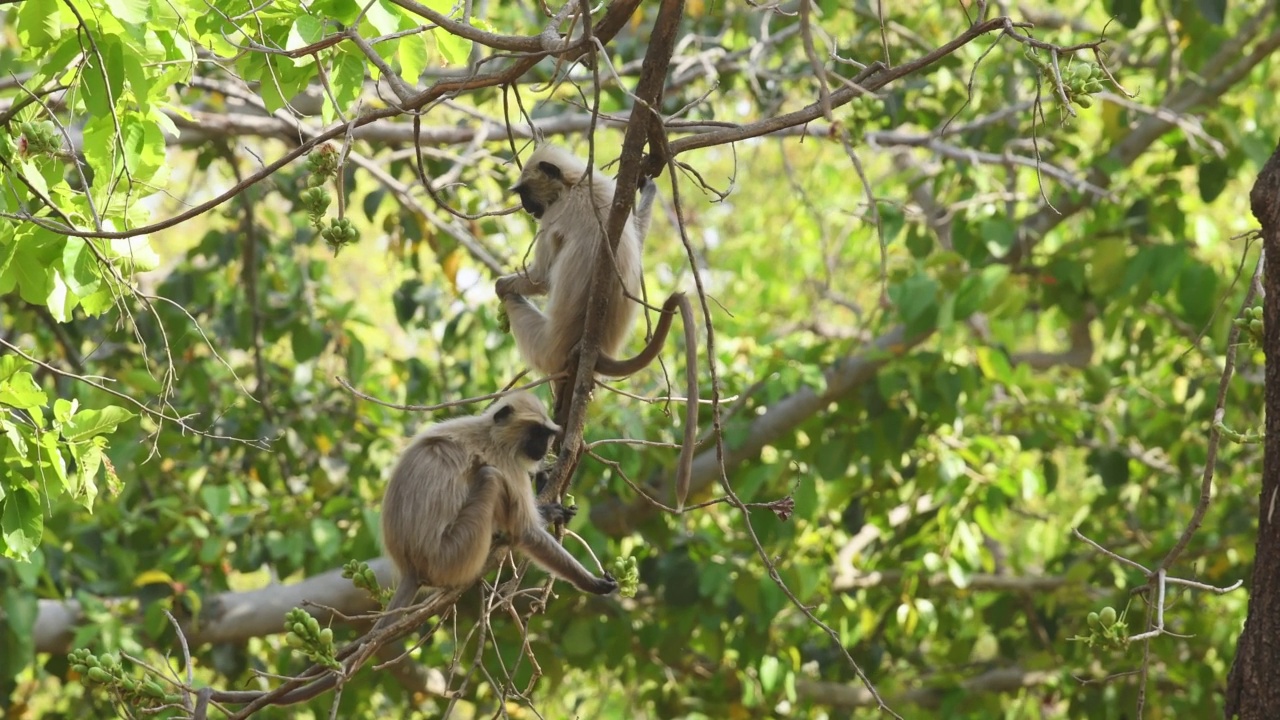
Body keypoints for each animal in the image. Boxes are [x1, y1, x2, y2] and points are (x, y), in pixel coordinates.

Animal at [373, 386, 616, 627]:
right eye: (536, 432)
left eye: (546, 434)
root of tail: (412, 568)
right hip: (453, 555)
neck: (491, 433)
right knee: (491, 477)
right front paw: (591, 582)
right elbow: (526, 532)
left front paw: (544, 484)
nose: (542, 447)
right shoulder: (508, 461)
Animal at [496, 142, 701, 507]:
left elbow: (540, 280)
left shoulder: (556, 214)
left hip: (546, 347)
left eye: (525, 193)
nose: (528, 209)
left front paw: (503, 283)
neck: (576, 183)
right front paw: (647, 189)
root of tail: (600, 347)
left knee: (519, 303)